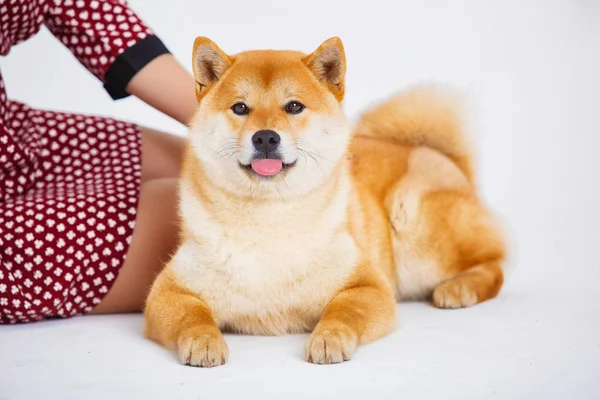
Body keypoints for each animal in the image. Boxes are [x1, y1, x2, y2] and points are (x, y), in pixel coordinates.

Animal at [144, 36, 506, 368]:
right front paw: (204, 341)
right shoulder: (168, 290)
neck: (268, 220)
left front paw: (328, 338)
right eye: (240, 108)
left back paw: (458, 288)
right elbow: (192, 315)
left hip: (414, 228)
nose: (265, 137)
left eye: (293, 106)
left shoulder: (368, 284)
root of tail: (442, 156)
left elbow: (344, 311)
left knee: (494, 263)